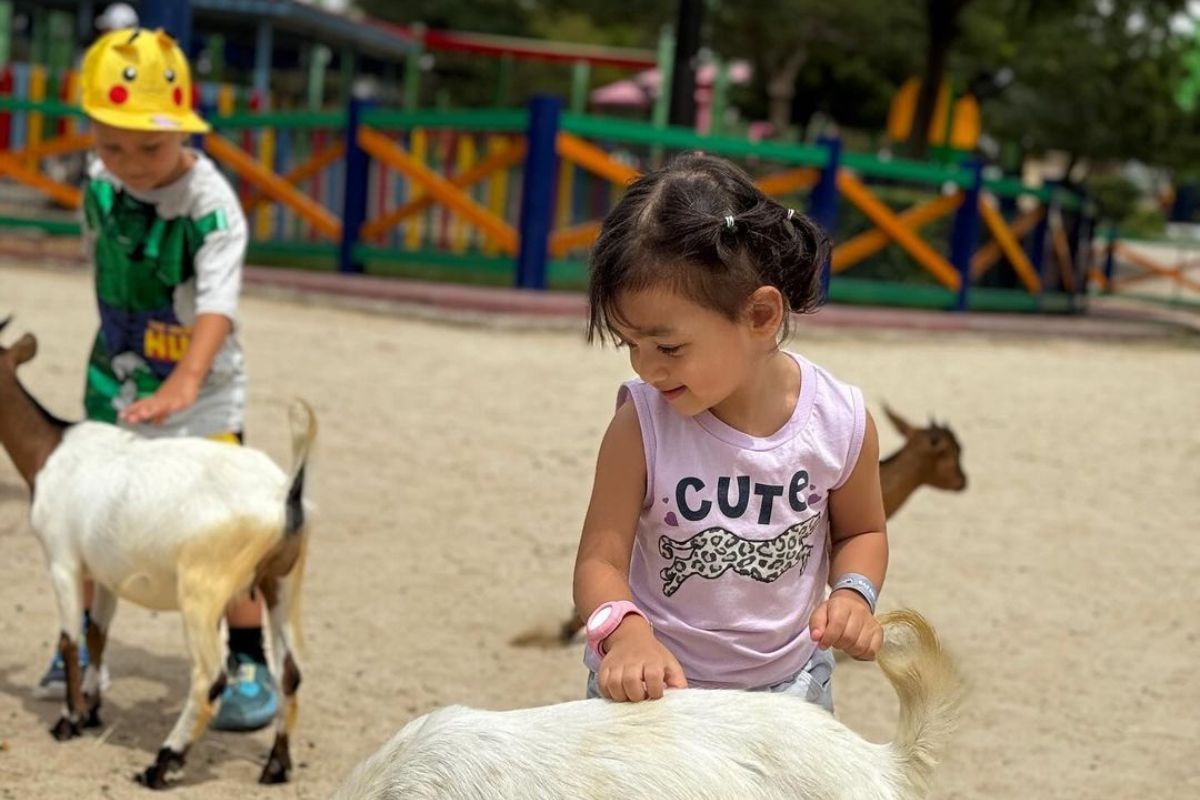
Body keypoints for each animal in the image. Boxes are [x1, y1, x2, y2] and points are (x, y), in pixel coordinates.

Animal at [0, 321, 314, 791]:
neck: (49, 450)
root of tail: (284, 496)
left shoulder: (62, 560)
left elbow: (70, 638)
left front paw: (68, 720)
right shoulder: (105, 573)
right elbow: (97, 634)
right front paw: (91, 710)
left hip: (203, 590)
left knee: (209, 678)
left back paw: (163, 763)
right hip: (282, 581)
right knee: (290, 672)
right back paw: (276, 766)